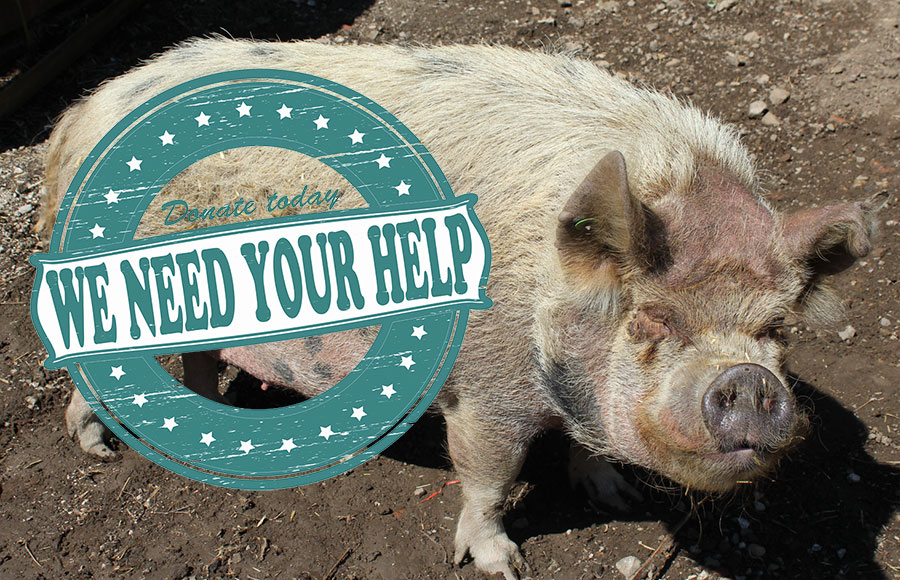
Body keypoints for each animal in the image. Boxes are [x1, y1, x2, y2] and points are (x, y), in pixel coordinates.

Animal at [39, 40, 887, 580]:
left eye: (775, 330)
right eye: (651, 320)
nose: (749, 381)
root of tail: (78, 114)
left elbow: (586, 453)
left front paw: (612, 496)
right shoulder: (483, 396)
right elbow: (488, 480)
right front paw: (503, 566)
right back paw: (100, 449)